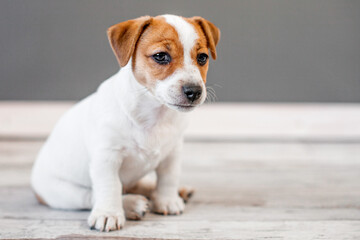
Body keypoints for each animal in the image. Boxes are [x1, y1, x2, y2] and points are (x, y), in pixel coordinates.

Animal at [31, 14, 219, 232]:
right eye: (160, 56)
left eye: (202, 57)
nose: (194, 91)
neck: (154, 113)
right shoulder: (106, 157)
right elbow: (110, 186)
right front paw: (109, 214)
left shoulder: (172, 152)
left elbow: (168, 178)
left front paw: (167, 200)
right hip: (62, 192)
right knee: (94, 196)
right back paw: (131, 204)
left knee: (139, 184)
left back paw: (174, 192)